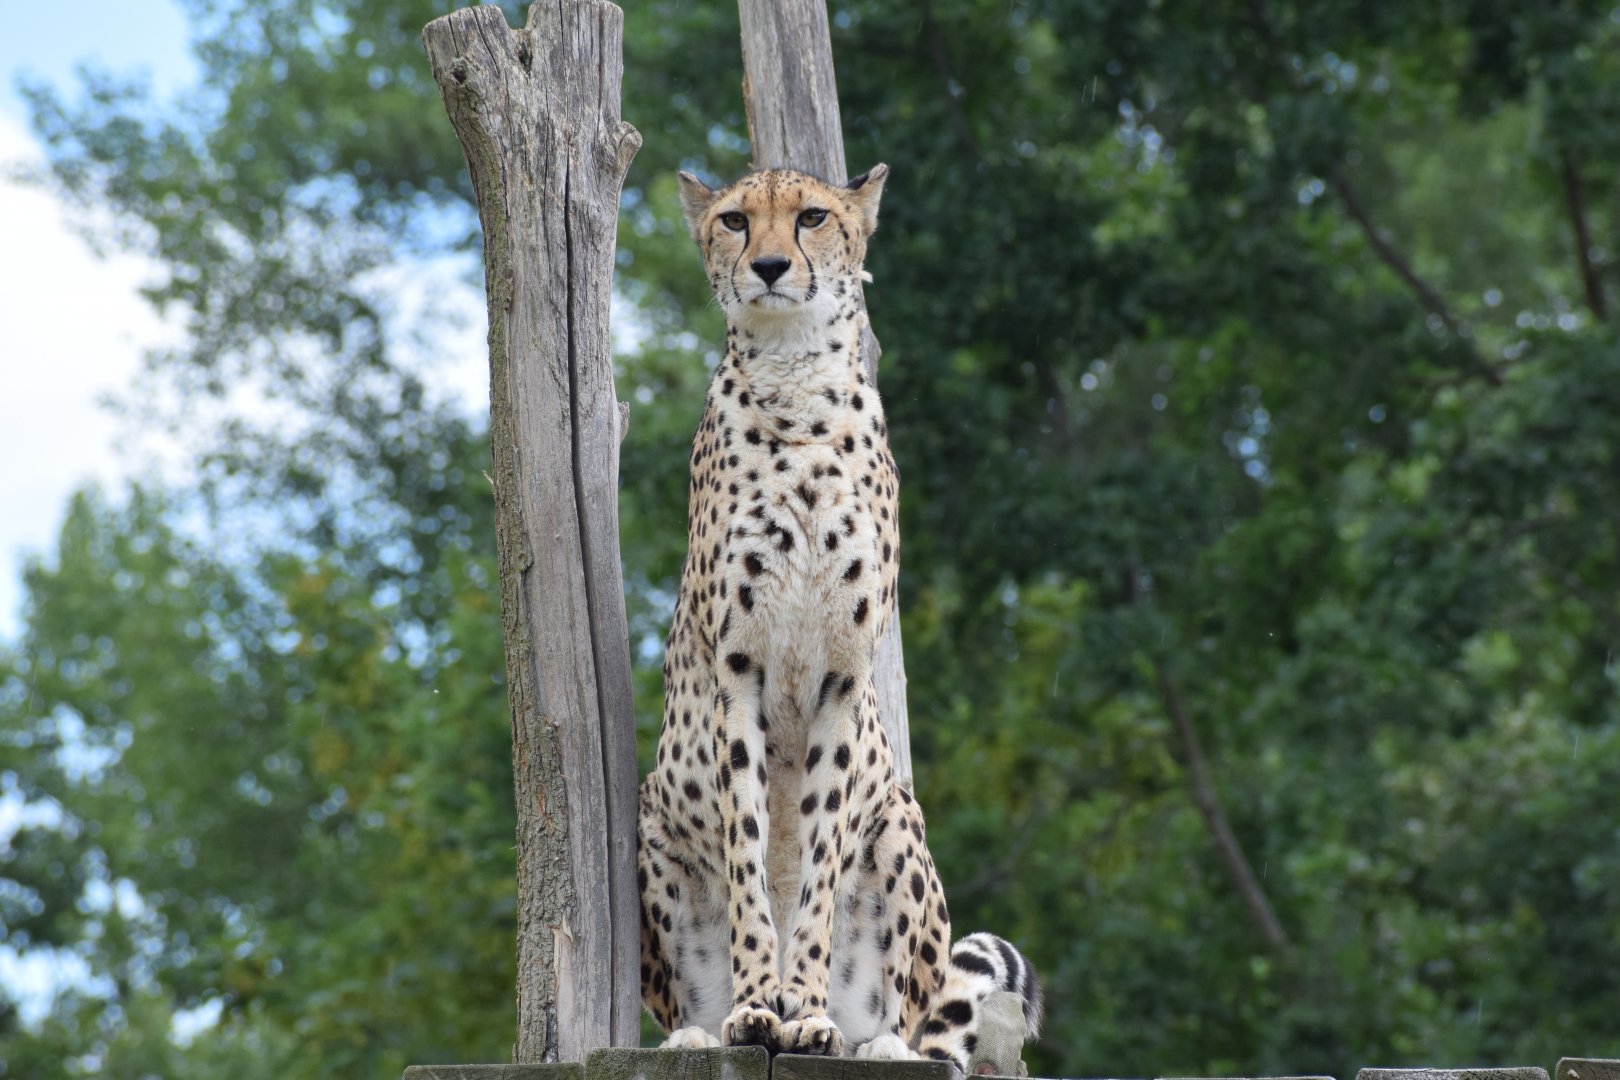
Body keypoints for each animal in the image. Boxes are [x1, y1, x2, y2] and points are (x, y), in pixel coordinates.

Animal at [636, 164, 1042, 1070]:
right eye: (734, 221)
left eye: (813, 217)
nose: (770, 266)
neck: (796, 389)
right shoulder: (739, 680)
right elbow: (752, 857)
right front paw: (759, 1004)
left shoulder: (839, 682)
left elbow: (817, 863)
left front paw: (805, 1009)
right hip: (654, 817)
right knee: (671, 995)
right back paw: (695, 1028)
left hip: (900, 820)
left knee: (914, 1015)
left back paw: (878, 1042)